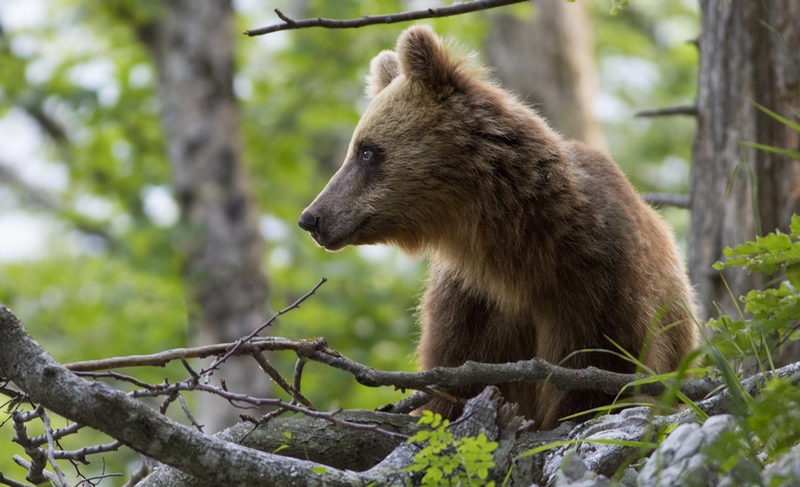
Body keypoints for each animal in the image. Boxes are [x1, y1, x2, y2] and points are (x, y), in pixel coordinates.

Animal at [296, 24, 696, 428]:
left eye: (366, 150)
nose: (312, 217)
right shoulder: (472, 302)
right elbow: (454, 379)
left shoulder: (598, 283)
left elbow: (597, 374)